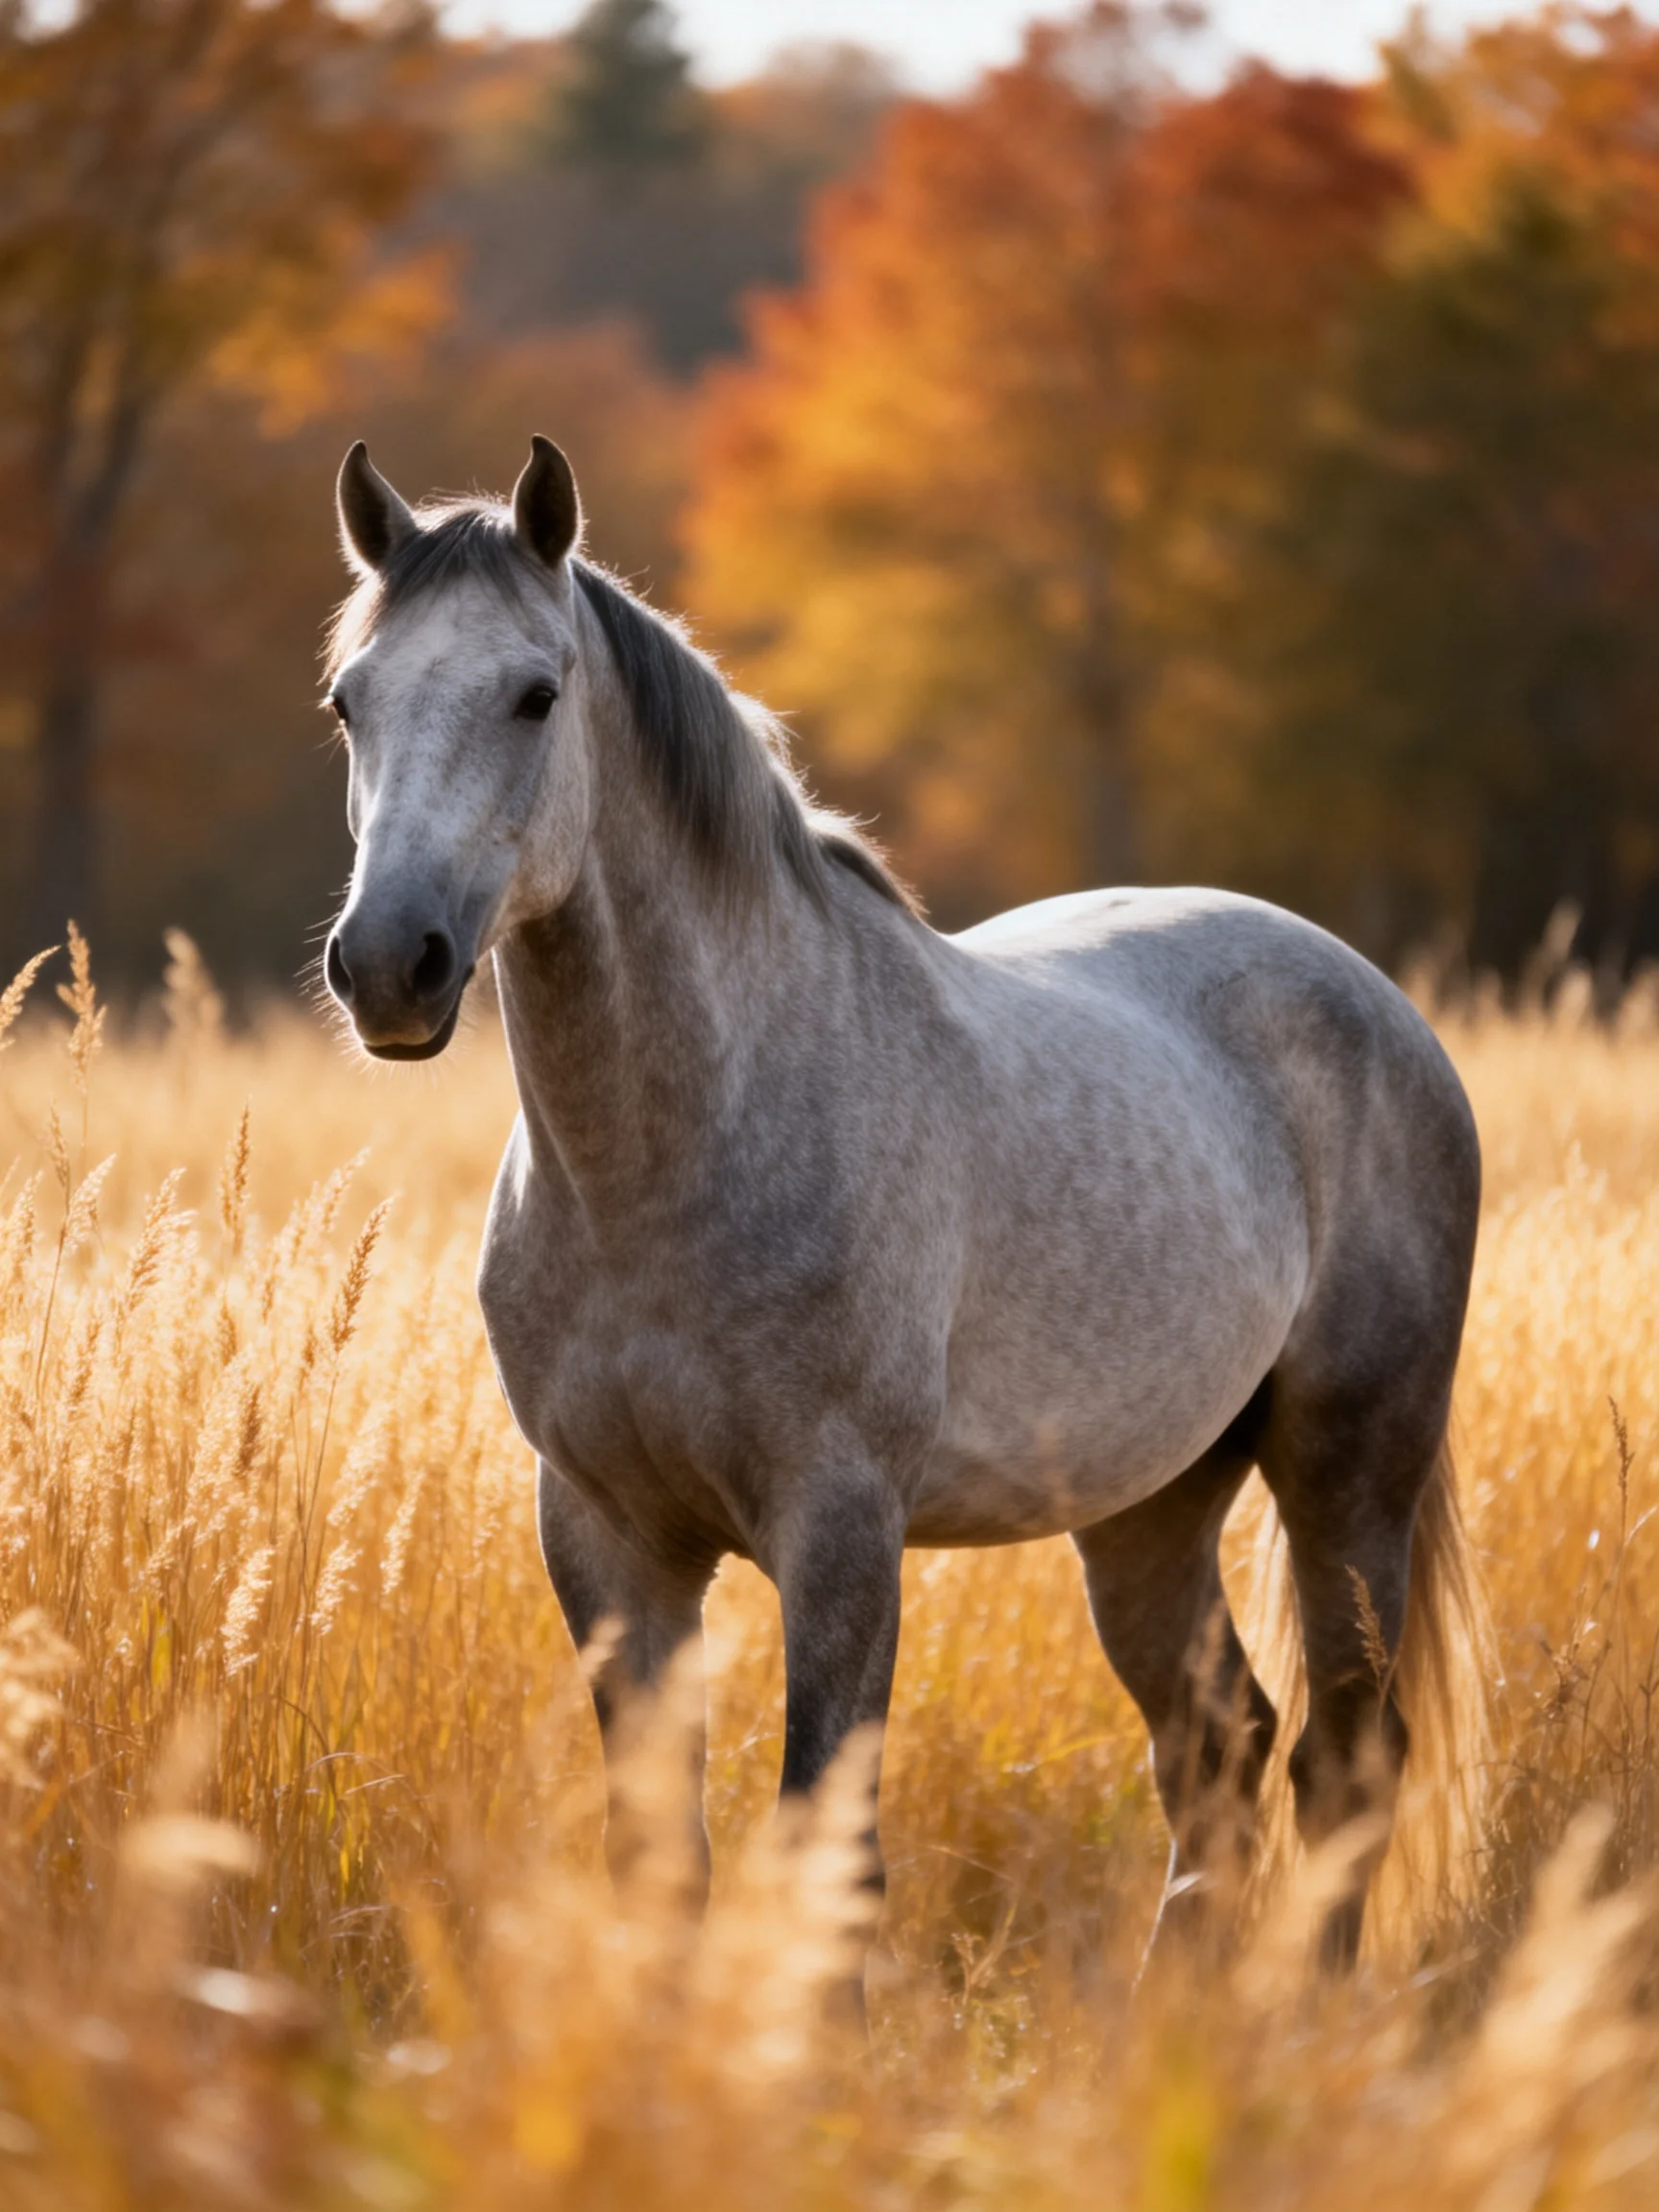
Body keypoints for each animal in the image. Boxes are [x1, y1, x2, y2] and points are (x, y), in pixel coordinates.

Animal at [322, 435, 1483, 1976]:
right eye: (350, 701)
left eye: (535, 693)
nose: (389, 964)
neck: (673, 1162)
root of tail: (1381, 1004)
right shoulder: (605, 1537)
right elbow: (660, 1862)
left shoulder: (841, 1528)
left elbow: (830, 1848)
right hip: (1150, 1508)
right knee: (1220, 1750)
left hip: (1350, 1472)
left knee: (1348, 1757)